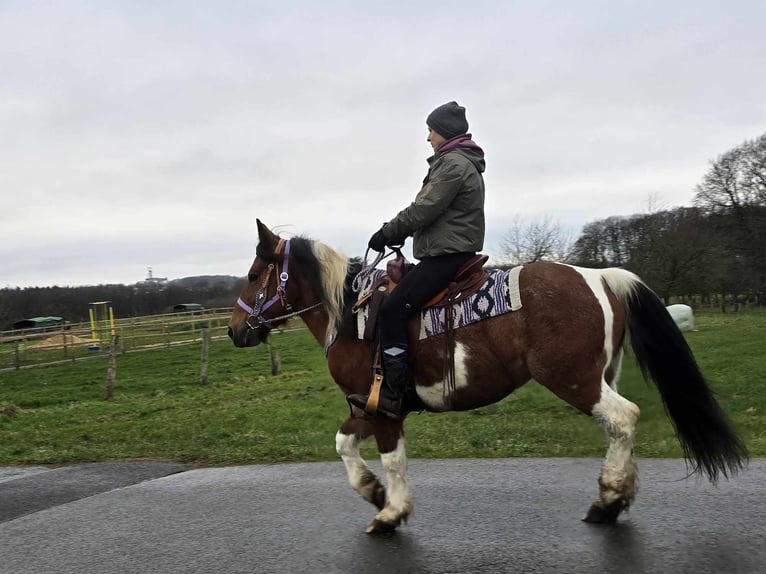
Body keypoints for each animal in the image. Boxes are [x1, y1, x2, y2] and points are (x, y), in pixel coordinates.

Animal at [228, 220, 752, 536]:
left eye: (254, 274)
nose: (234, 331)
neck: (351, 315)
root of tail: (601, 276)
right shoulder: (365, 404)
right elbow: (343, 444)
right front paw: (373, 492)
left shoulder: (385, 408)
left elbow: (394, 461)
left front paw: (391, 510)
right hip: (600, 377)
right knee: (618, 428)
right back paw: (615, 496)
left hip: (575, 380)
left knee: (625, 419)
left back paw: (609, 501)